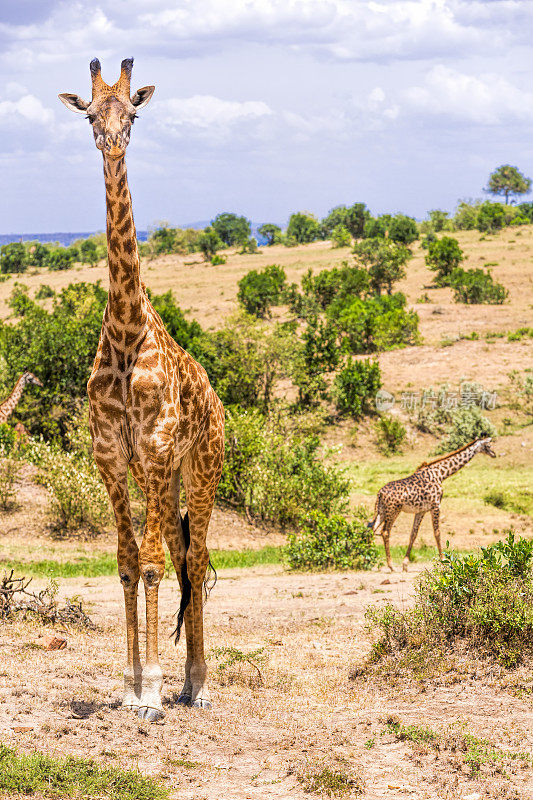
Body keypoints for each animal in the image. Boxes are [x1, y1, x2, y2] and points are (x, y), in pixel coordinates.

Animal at [58, 56, 224, 720]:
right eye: (89, 115)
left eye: (132, 113)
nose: (112, 143)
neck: (127, 334)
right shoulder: (111, 457)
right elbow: (129, 563)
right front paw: (129, 685)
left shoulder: (153, 451)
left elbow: (152, 564)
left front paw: (152, 688)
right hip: (174, 474)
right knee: (183, 556)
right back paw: (187, 680)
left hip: (201, 469)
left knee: (195, 557)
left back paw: (198, 684)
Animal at [368, 438, 496, 576]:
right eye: (488, 445)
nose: (494, 454)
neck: (440, 474)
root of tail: (380, 493)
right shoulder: (436, 505)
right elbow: (437, 533)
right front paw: (443, 560)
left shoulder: (421, 510)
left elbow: (413, 534)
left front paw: (405, 564)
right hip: (393, 510)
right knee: (385, 532)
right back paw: (391, 566)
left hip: (382, 511)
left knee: (372, 529)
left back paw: (368, 560)